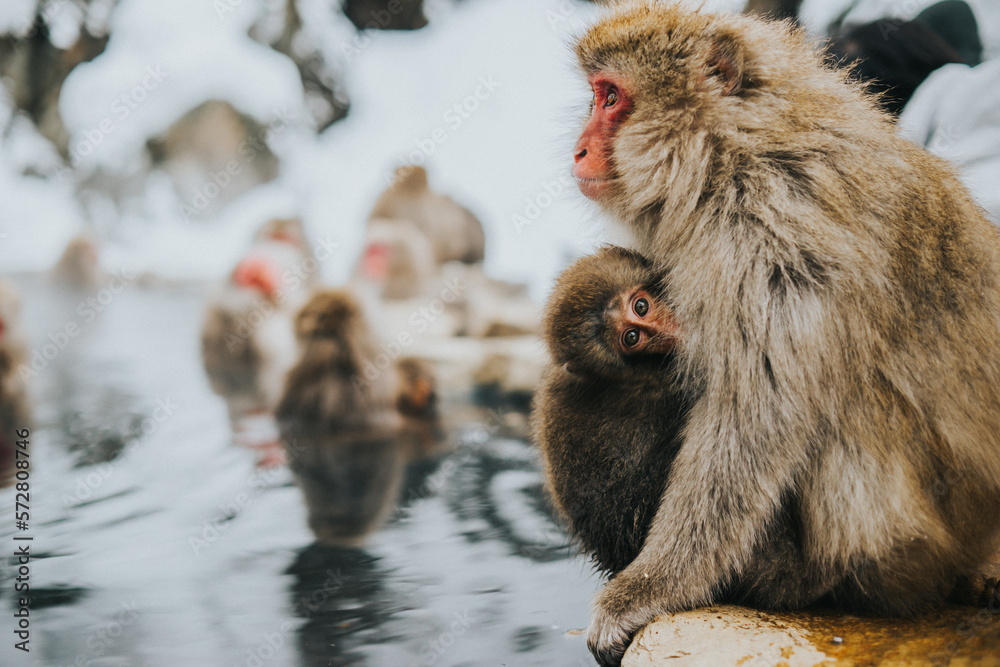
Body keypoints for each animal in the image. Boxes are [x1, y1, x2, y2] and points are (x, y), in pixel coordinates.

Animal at [568, 5, 1000, 665]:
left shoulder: (776, 233)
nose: (580, 149)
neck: (731, 153)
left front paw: (648, 589)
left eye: (610, 97)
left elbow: (751, 420)